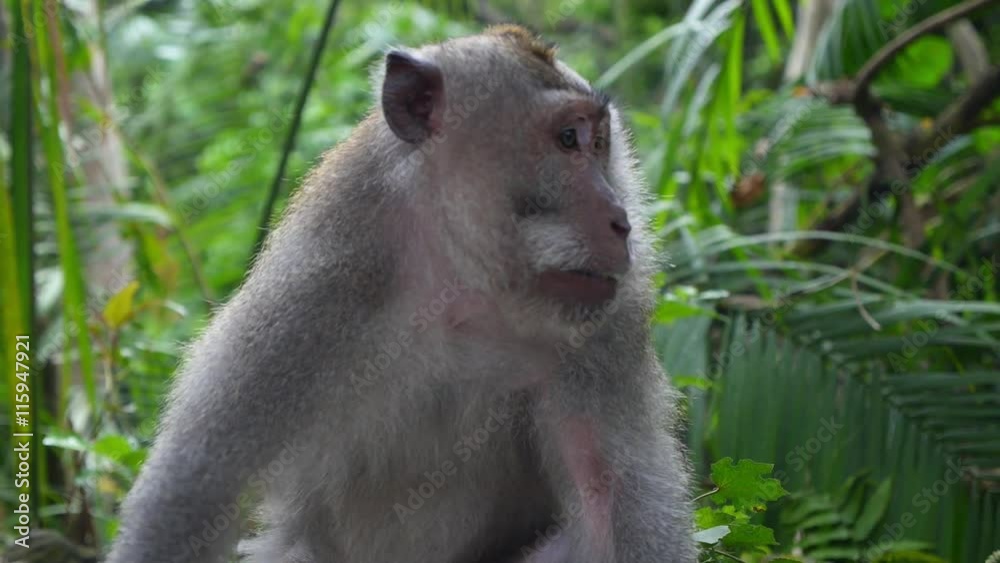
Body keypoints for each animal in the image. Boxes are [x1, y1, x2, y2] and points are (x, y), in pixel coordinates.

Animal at [106, 25, 696, 563]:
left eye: (599, 143)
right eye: (567, 138)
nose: (621, 221)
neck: (462, 287)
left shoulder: (609, 319)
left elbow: (609, 501)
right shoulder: (316, 290)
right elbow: (198, 491)